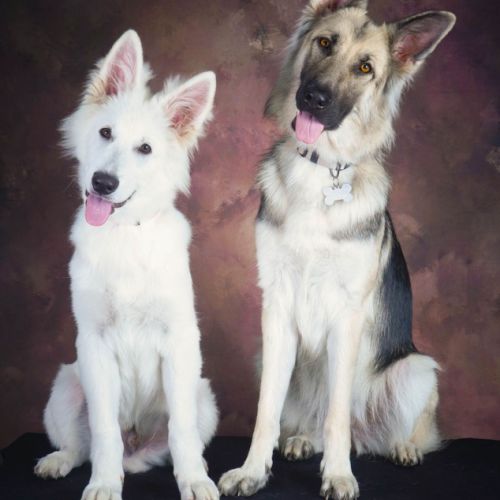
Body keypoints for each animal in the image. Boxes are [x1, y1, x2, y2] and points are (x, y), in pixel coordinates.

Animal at [34, 30, 219, 500]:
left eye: (145, 149)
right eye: (105, 133)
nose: (103, 183)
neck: (123, 235)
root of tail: (138, 447)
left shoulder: (179, 341)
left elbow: (181, 431)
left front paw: (194, 480)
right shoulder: (93, 344)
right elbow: (103, 433)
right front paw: (103, 483)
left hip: (203, 395)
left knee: (178, 437)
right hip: (66, 386)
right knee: (81, 445)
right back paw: (62, 460)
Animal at [219, 1, 455, 499]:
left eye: (366, 68)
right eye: (324, 43)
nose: (314, 98)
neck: (321, 170)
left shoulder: (347, 316)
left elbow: (337, 416)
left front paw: (338, 474)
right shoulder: (277, 310)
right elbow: (266, 412)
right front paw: (252, 471)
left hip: (416, 369)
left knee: (390, 428)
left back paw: (402, 447)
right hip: (268, 356)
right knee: (310, 415)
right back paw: (303, 440)